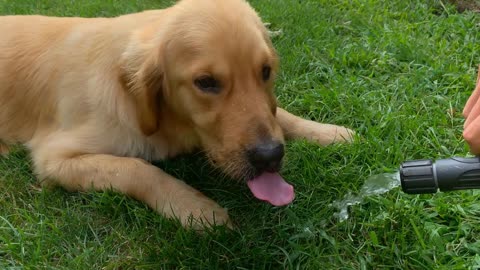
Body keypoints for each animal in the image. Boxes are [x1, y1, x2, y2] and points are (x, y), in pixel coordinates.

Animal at [0, 0, 352, 230]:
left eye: (265, 71)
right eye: (206, 83)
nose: (270, 156)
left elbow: (281, 115)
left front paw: (329, 132)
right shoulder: (54, 157)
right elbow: (138, 169)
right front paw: (197, 209)